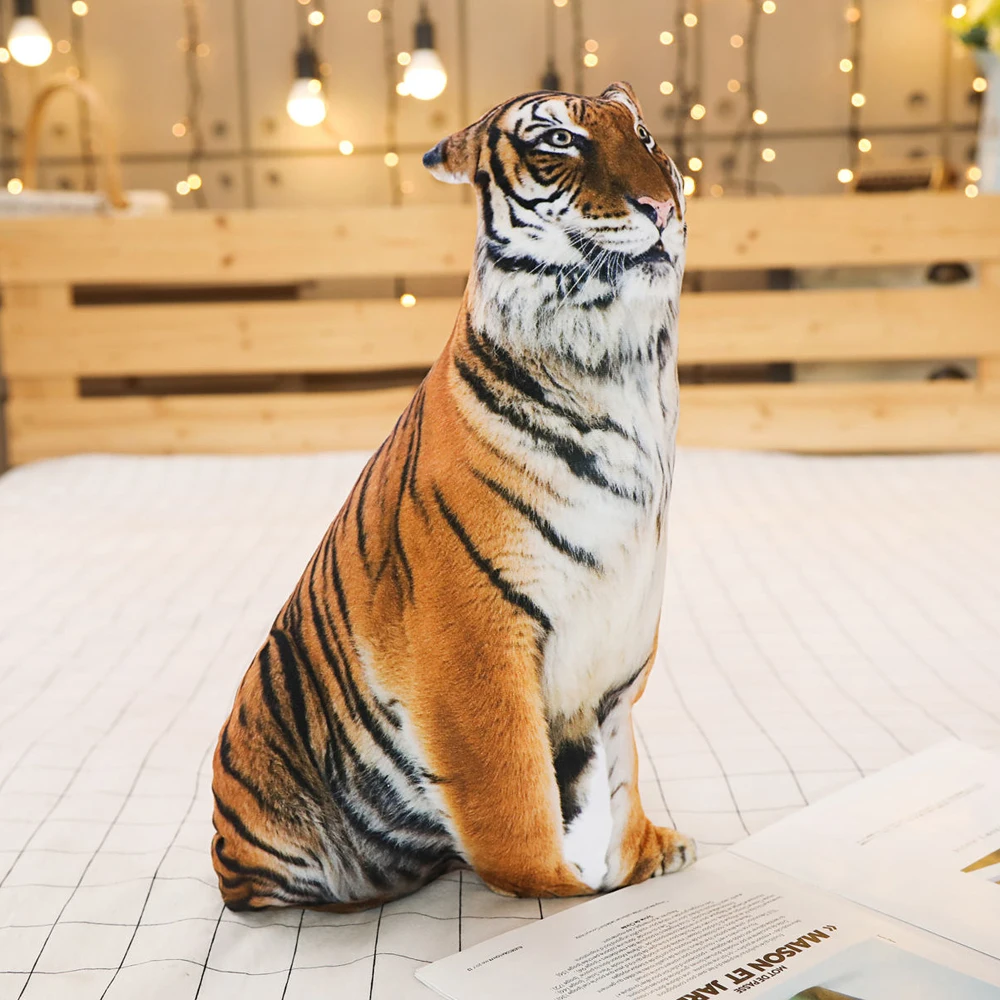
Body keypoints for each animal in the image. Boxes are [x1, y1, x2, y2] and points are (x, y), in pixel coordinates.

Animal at [211, 80, 693, 912]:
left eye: (649, 141)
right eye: (559, 141)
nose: (662, 205)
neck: (623, 364)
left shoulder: (624, 632)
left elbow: (620, 773)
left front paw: (640, 858)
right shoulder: (474, 630)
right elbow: (512, 788)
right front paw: (567, 893)